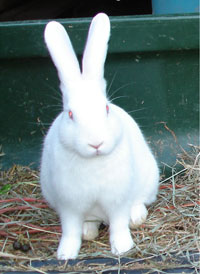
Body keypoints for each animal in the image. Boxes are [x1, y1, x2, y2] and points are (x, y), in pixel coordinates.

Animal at [40, 13, 159, 262]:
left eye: (105, 109)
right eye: (71, 114)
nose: (96, 143)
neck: (93, 162)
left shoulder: (117, 200)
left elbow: (119, 224)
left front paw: (122, 248)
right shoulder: (69, 205)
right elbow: (70, 230)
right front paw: (65, 254)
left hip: (149, 178)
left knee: (139, 201)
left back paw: (137, 217)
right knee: (88, 224)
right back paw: (89, 230)